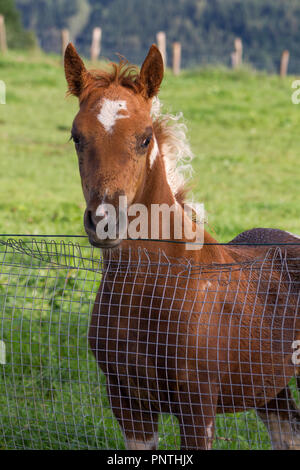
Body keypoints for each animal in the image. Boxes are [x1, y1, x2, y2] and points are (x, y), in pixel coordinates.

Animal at [65, 45, 300, 452]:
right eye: (76, 137)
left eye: (144, 138)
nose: (105, 220)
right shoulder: (127, 403)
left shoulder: (197, 405)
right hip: (272, 387)